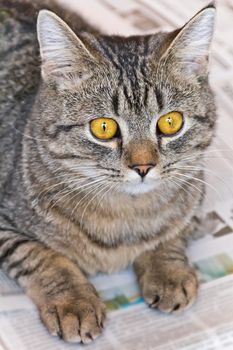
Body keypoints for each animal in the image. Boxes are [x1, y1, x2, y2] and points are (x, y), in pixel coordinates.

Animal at [0, 0, 217, 344]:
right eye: (103, 127)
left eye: (171, 122)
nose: (143, 167)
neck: (125, 213)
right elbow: (41, 256)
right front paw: (74, 302)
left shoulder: (195, 191)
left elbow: (171, 233)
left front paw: (168, 271)